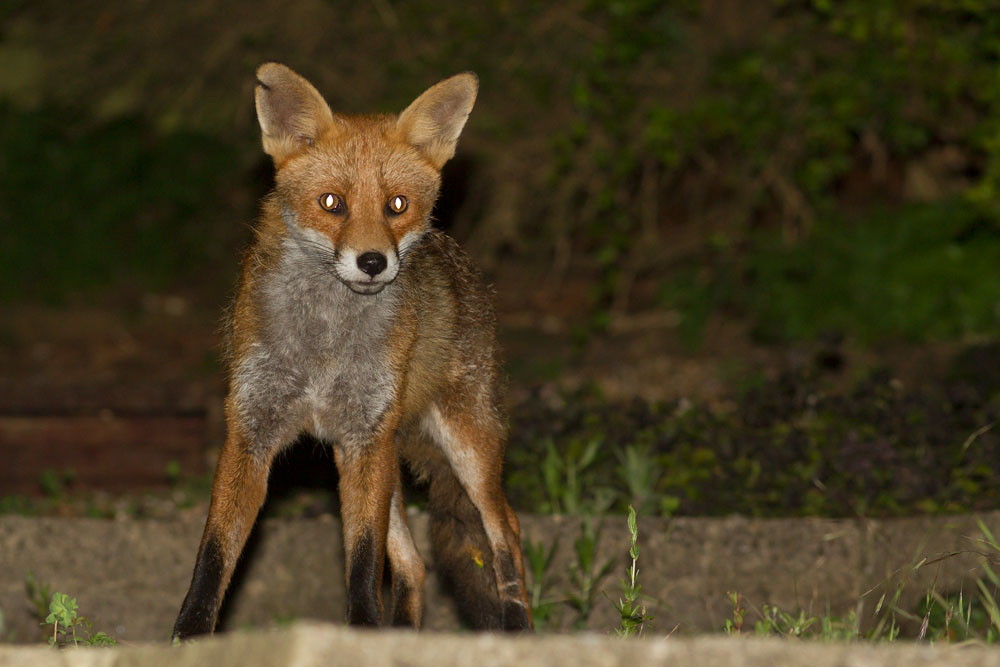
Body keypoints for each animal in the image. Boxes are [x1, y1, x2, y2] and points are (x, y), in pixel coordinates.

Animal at [171, 63, 532, 638]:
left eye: (397, 206)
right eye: (331, 204)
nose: (372, 262)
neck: (324, 345)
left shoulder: (364, 439)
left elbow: (362, 562)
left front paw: (362, 631)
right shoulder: (253, 432)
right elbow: (214, 554)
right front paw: (189, 634)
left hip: (464, 448)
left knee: (507, 533)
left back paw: (517, 627)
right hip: (384, 459)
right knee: (415, 563)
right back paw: (404, 633)